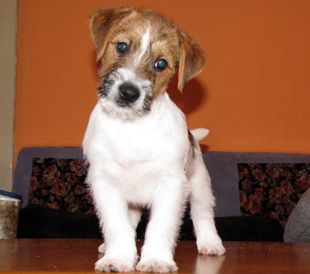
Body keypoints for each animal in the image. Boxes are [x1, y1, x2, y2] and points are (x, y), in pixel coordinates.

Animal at [83, 5, 225, 272]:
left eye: (161, 63)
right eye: (122, 47)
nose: (128, 92)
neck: (131, 126)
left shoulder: (171, 185)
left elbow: (161, 226)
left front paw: (156, 259)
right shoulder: (105, 183)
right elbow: (117, 226)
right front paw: (118, 258)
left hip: (199, 186)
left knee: (202, 214)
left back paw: (210, 243)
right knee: (129, 222)